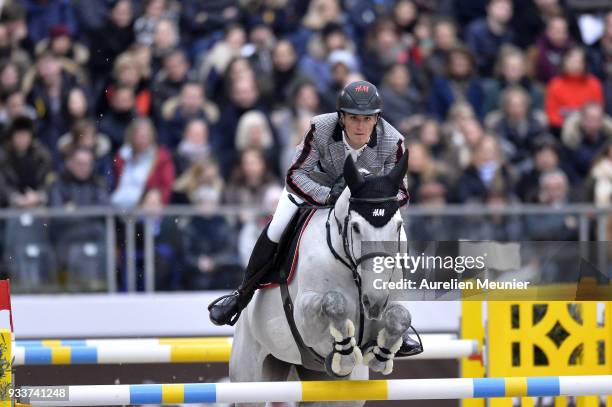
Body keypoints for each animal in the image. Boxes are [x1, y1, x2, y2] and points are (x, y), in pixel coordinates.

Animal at [230, 155, 412, 406]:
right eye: (356, 227)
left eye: (398, 226)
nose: (374, 303)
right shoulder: (306, 318)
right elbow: (333, 303)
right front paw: (344, 355)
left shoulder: (390, 301)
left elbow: (400, 316)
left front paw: (380, 356)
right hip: (249, 374)